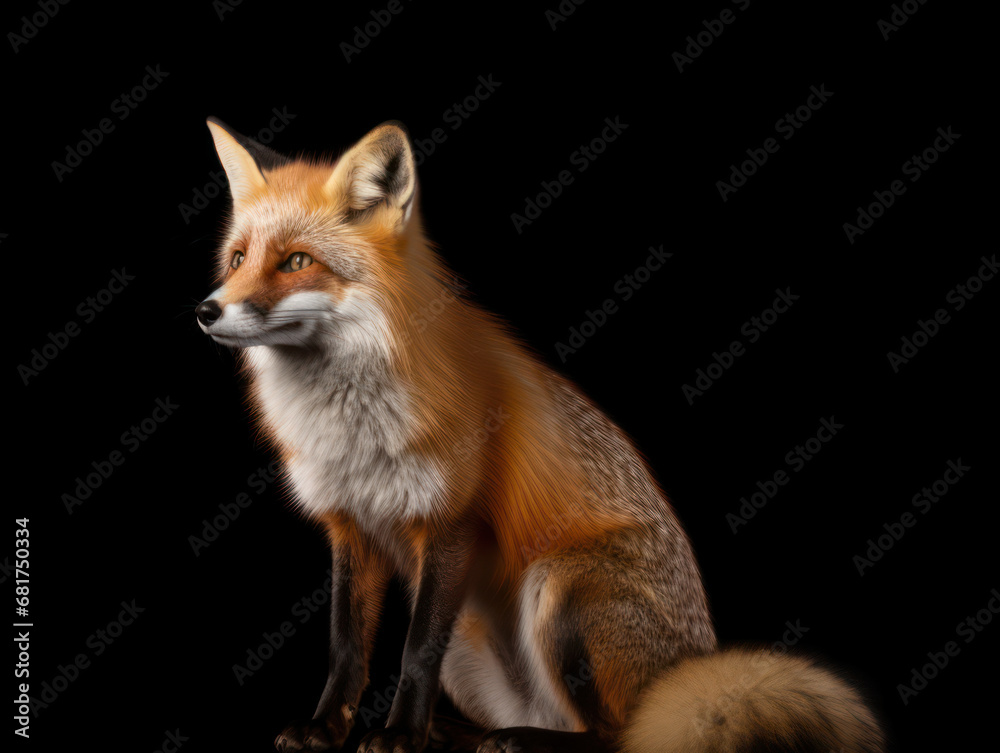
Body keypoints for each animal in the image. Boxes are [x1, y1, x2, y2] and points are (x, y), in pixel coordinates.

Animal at [195, 117, 886, 753]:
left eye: (297, 262)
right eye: (238, 259)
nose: (206, 310)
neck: (351, 431)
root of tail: (690, 663)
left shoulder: (453, 522)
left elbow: (414, 651)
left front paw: (398, 736)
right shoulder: (350, 525)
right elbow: (346, 649)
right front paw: (327, 727)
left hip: (559, 588)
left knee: (617, 735)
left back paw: (517, 739)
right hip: (473, 644)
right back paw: (462, 732)